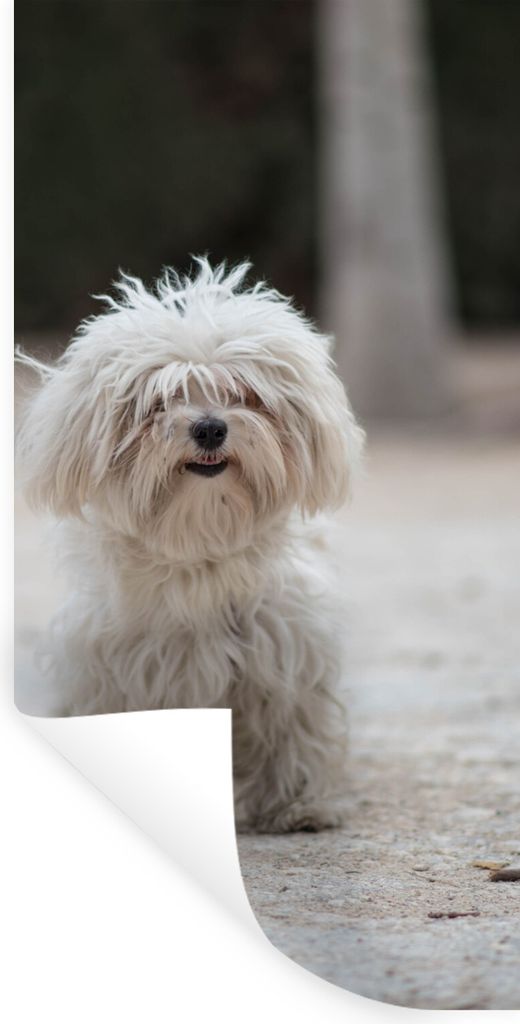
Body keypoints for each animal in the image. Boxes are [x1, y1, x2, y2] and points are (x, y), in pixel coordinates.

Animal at [17, 259, 364, 832]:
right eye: (159, 401)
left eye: (244, 394)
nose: (209, 428)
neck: (198, 548)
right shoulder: (114, 669)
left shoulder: (285, 651)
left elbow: (292, 724)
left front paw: (297, 803)